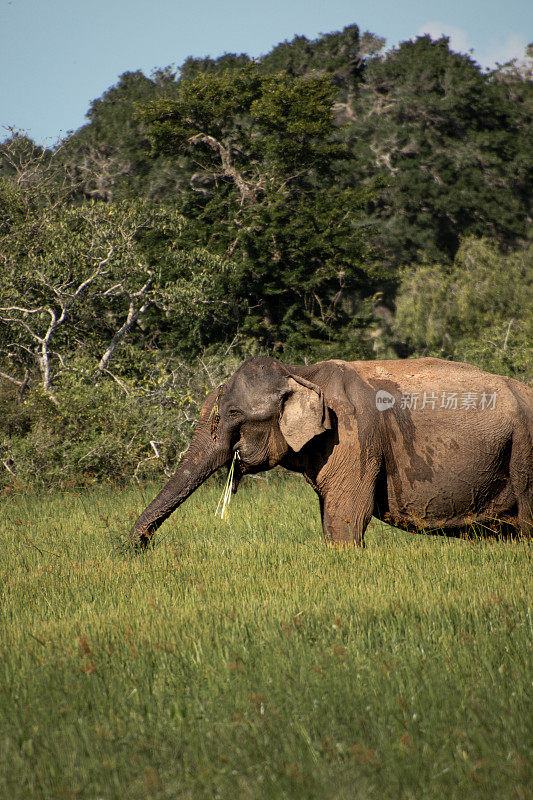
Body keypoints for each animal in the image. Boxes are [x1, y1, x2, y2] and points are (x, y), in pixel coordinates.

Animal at [130, 358, 532, 552]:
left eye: (233, 413)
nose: (140, 549)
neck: (300, 372)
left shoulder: (355, 435)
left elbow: (346, 516)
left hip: (524, 451)